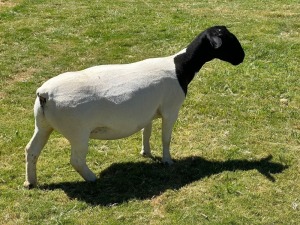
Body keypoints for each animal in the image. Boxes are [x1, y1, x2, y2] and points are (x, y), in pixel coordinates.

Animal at [23, 25, 244, 188]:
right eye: (227, 40)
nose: (241, 57)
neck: (180, 67)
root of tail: (45, 94)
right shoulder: (171, 109)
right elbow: (165, 138)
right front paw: (168, 161)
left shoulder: (147, 112)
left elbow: (146, 132)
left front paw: (146, 153)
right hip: (77, 131)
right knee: (76, 160)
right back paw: (92, 178)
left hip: (42, 125)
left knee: (31, 151)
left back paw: (30, 182)